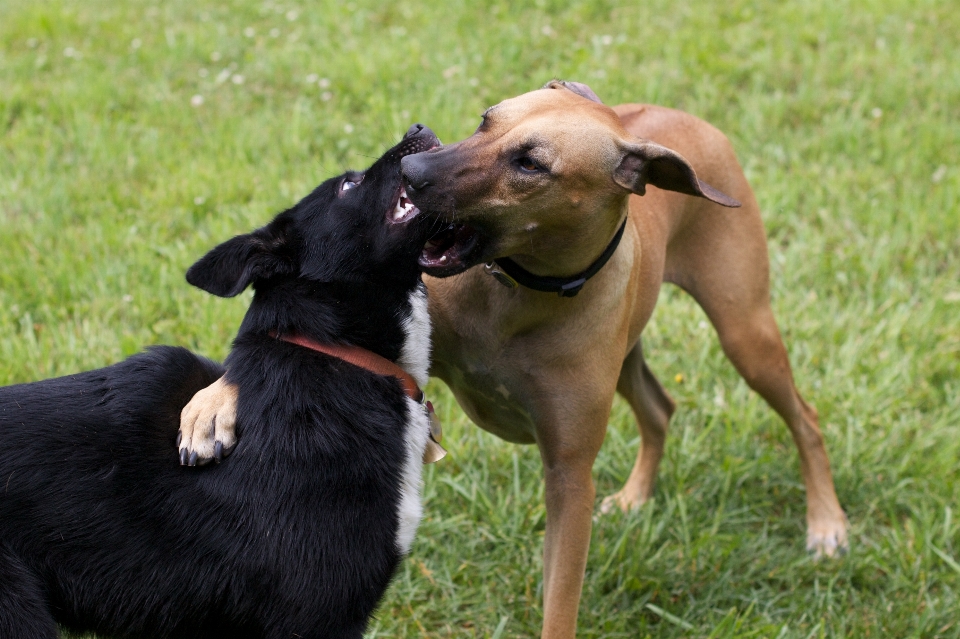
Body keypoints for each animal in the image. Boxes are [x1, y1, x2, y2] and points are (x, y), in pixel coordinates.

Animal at [178, 82, 848, 636]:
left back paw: (826, 523)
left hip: (745, 330)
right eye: (485, 120)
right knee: (659, 407)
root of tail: (682, 118)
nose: (415, 165)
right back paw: (637, 497)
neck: (517, 294)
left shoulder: (568, 478)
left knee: (802, 416)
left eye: (530, 163)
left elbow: (561, 595)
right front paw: (209, 409)